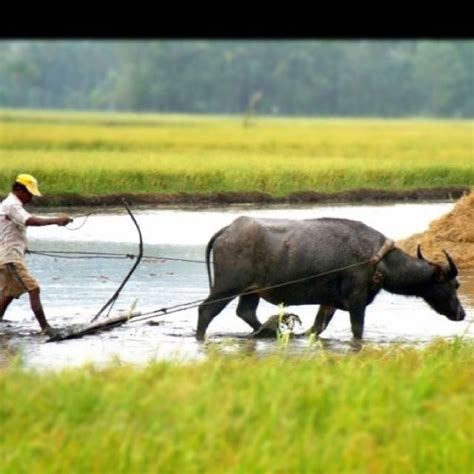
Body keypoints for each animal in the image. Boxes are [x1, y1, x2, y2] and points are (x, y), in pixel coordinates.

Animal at [195, 215, 462, 340]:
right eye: (454, 284)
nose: (461, 314)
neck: (379, 260)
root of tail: (229, 229)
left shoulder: (328, 303)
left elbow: (316, 328)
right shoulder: (356, 300)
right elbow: (357, 330)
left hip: (251, 291)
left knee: (246, 312)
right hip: (226, 287)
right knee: (206, 311)